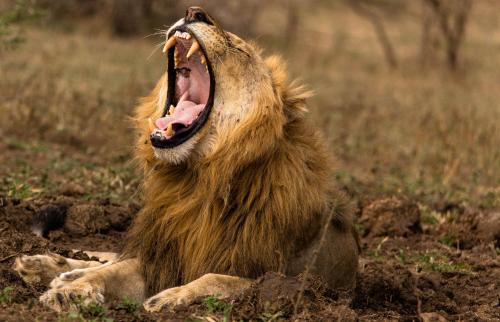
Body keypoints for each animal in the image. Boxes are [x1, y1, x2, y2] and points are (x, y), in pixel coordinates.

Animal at [12, 6, 360, 312]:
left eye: (239, 48)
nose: (194, 12)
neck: (201, 176)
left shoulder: (291, 283)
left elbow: (219, 279)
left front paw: (170, 297)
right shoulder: (164, 257)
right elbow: (112, 271)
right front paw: (69, 293)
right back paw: (47, 265)